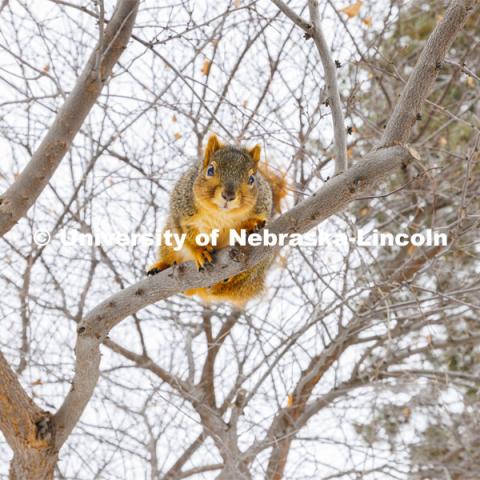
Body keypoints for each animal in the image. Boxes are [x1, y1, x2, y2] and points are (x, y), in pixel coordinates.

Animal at [146, 133, 286, 306]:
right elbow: (186, 235)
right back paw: (162, 266)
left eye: (252, 179)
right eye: (210, 170)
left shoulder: (263, 206)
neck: (221, 214)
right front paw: (200, 251)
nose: (228, 195)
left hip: (258, 264)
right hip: (169, 240)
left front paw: (251, 225)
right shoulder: (181, 211)